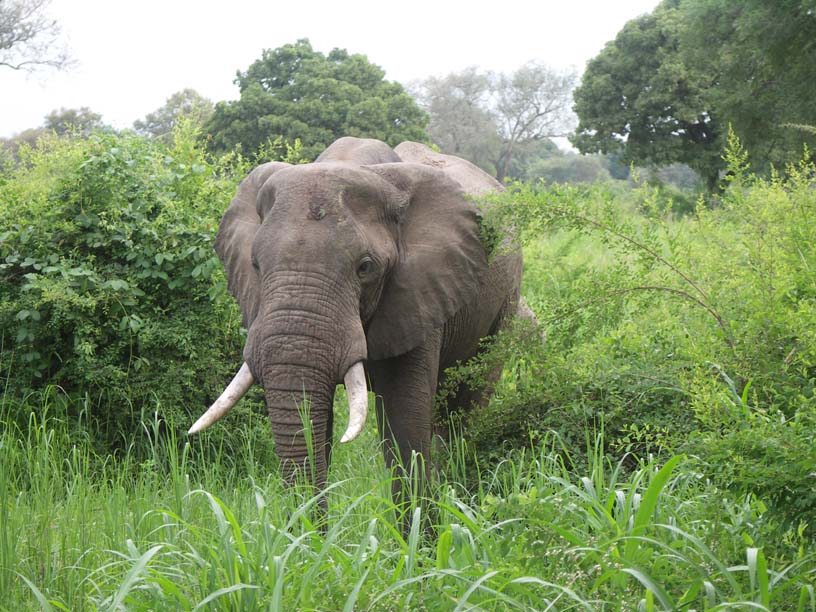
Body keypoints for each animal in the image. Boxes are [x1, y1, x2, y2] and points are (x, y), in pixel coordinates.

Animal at [188, 137, 522, 514]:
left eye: (365, 267)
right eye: (256, 264)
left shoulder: (418, 292)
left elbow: (404, 425)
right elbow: (316, 427)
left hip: (505, 302)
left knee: (464, 411)